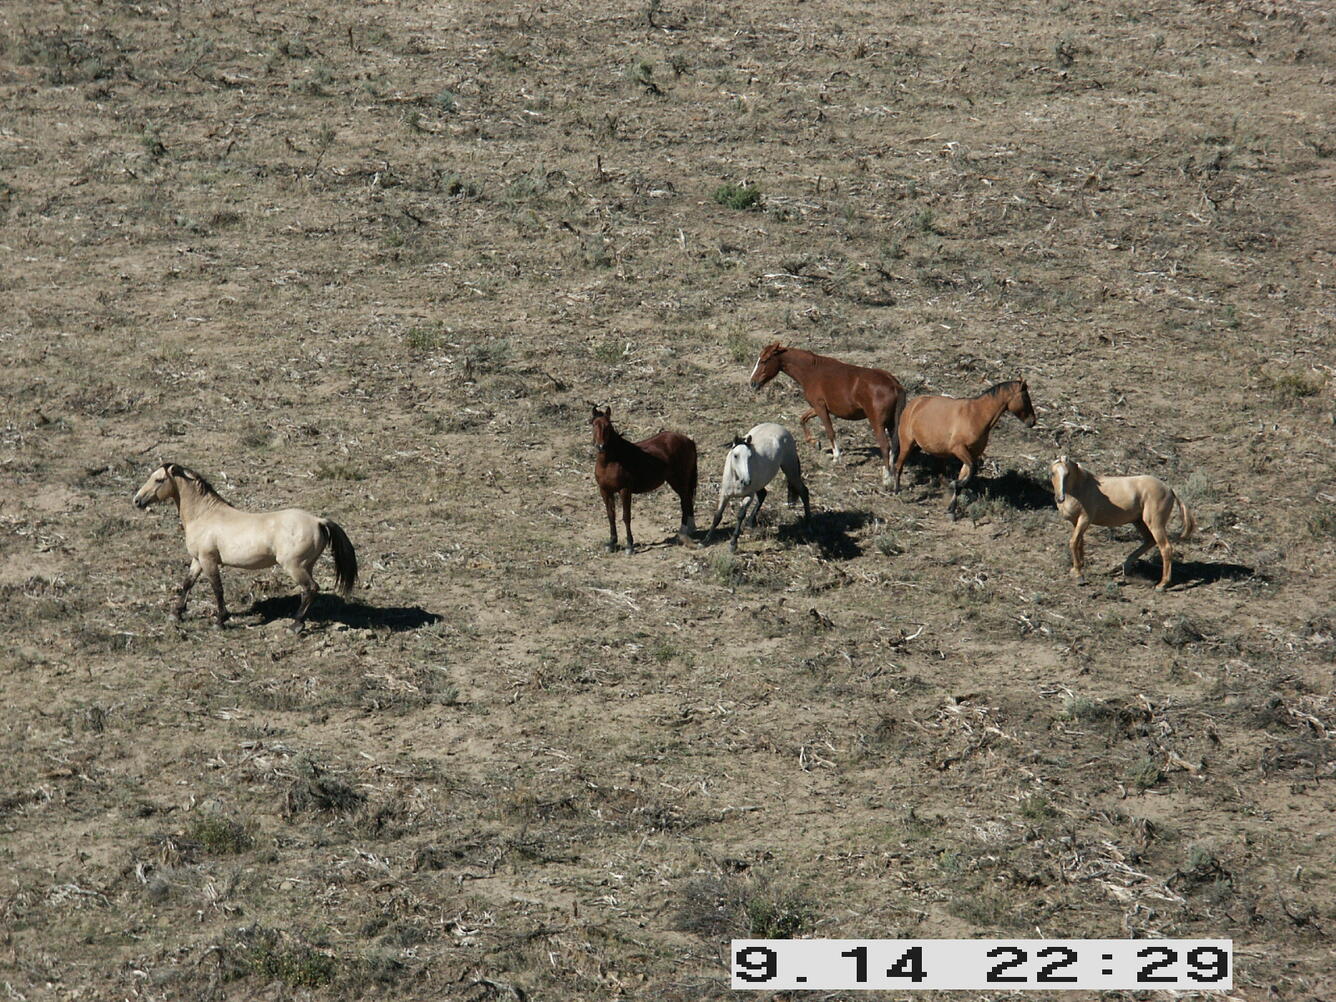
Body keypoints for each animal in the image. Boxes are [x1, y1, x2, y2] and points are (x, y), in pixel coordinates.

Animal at [133, 463, 358, 631]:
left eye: (159, 480)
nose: (137, 500)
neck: (204, 515)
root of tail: (319, 521)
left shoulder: (208, 560)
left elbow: (217, 589)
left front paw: (220, 621)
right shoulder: (198, 559)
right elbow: (187, 583)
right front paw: (176, 614)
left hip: (294, 566)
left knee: (311, 588)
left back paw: (295, 625)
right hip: (306, 565)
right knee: (308, 591)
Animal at [590, 406, 698, 554]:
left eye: (608, 426)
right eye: (594, 425)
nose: (601, 446)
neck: (611, 461)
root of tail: (688, 440)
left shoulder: (625, 490)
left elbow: (626, 516)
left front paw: (629, 545)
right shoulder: (605, 491)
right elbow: (611, 516)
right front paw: (611, 543)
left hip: (680, 481)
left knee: (685, 502)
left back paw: (683, 532)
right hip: (676, 481)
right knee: (687, 500)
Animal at [748, 342, 906, 486]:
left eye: (764, 360)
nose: (752, 383)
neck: (812, 371)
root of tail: (894, 385)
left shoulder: (820, 408)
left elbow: (830, 431)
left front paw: (836, 457)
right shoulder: (818, 407)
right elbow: (802, 419)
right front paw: (814, 442)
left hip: (877, 423)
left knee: (885, 446)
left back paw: (886, 478)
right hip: (891, 423)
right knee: (894, 447)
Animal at [893, 379, 1037, 519]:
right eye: (1025, 398)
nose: (1033, 422)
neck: (976, 416)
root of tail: (913, 404)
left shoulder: (972, 454)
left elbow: (966, 475)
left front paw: (951, 509)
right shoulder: (959, 449)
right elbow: (973, 469)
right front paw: (954, 485)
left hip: (921, 447)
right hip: (907, 444)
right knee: (898, 465)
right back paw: (896, 490)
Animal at [1050, 456, 1196, 590]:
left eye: (1067, 473)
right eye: (1052, 473)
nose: (1060, 498)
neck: (1081, 488)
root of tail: (1169, 489)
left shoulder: (1084, 519)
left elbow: (1073, 542)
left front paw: (1078, 575)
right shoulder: (1076, 522)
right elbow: (1079, 543)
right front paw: (1077, 569)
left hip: (1155, 524)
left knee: (1165, 548)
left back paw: (1162, 584)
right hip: (1139, 522)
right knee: (1150, 541)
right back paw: (1126, 567)